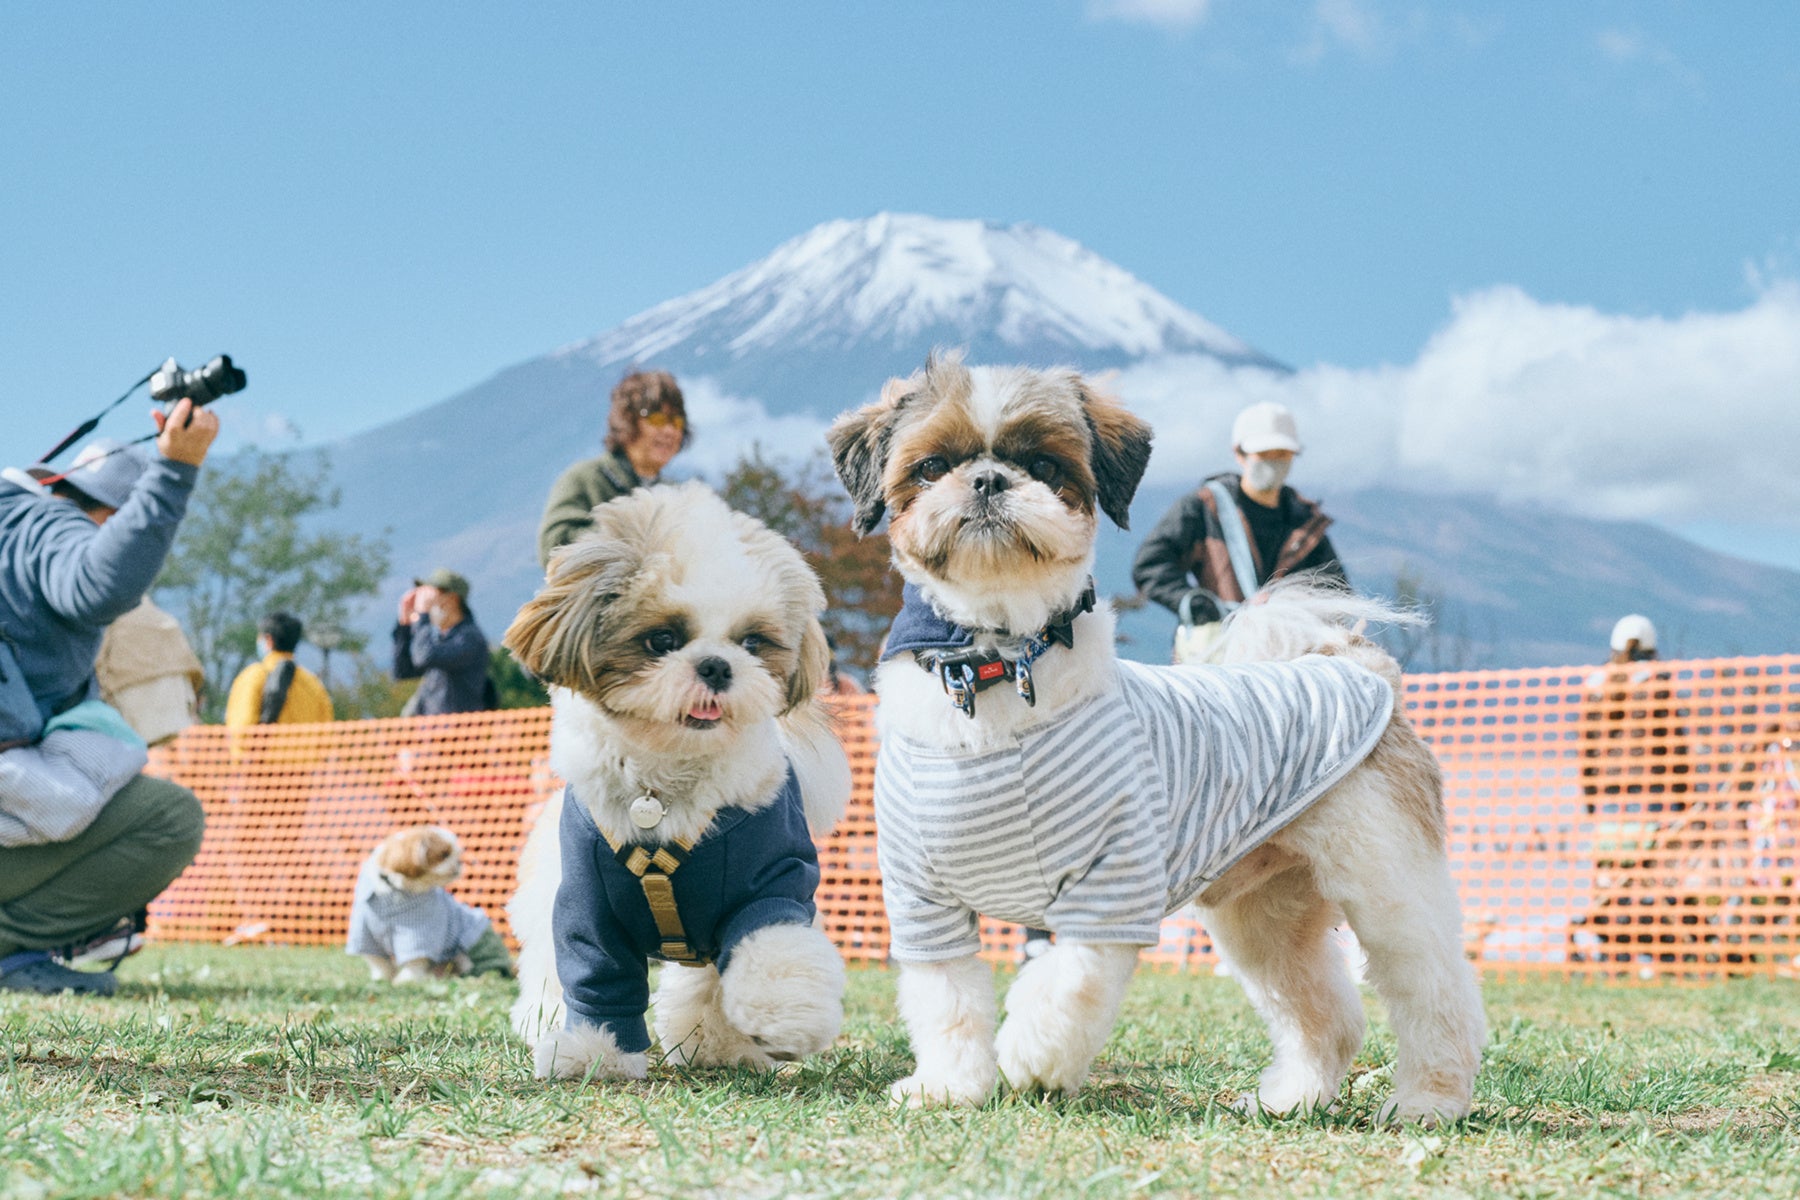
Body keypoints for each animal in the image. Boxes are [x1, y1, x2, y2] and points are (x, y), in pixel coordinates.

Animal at [828, 354, 1490, 1129]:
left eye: (1045, 465)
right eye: (931, 467)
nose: (988, 480)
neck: (997, 665)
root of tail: (1353, 664)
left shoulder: (1113, 884)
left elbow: (1068, 982)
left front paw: (1032, 1056)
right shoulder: (922, 899)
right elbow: (947, 1003)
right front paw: (948, 1086)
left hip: (1388, 887)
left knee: (1435, 994)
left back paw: (1428, 1100)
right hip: (1265, 919)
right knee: (1322, 1011)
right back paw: (1293, 1097)